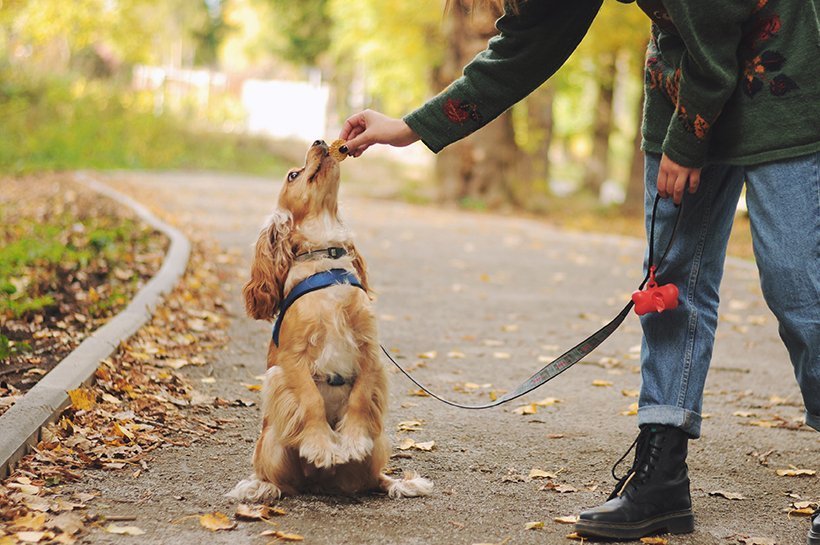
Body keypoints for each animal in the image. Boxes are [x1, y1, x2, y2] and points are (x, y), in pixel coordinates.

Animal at [227, 138, 432, 500]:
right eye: (293, 175)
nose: (320, 141)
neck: (327, 261)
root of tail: (318, 483)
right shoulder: (291, 360)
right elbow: (311, 401)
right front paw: (322, 446)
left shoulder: (368, 349)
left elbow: (361, 398)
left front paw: (351, 441)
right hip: (271, 443)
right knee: (282, 484)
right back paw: (260, 488)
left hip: (380, 442)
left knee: (372, 479)